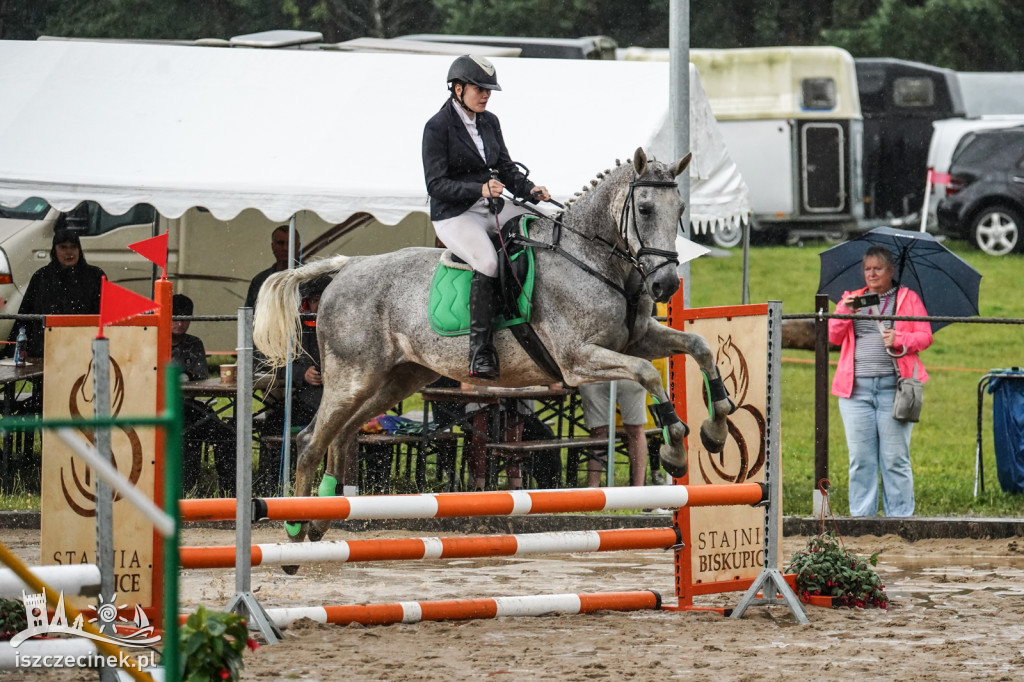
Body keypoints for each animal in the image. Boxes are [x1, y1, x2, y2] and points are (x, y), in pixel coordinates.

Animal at [256, 147, 737, 548]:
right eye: (644, 208)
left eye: (680, 211)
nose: (666, 284)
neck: (593, 258)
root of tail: (346, 267)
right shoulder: (578, 360)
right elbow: (649, 374)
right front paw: (675, 450)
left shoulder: (638, 339)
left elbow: (699, 346)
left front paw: (716, 428)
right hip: (352, 377)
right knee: (310, 439)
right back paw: (296, 529)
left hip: (395, 379)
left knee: (340, 435)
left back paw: (321, 520)